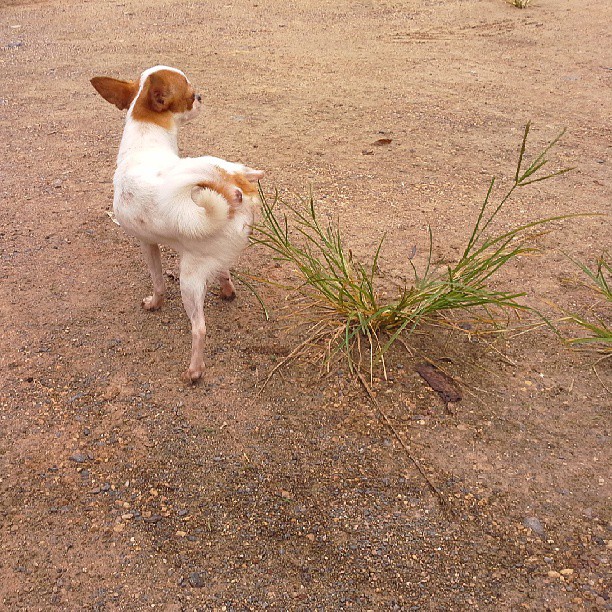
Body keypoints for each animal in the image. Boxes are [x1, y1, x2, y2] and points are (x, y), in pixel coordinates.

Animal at [91, 67, 262, 382]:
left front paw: (154, 303)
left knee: (199, 328)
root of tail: (231, 187)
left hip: (189, 280)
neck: (145, 141)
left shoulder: (147, 244)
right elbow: (223, 272)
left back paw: (194, 370)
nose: (201, 96)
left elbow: (158, 282)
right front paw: (227, 288)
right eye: (190, 96)